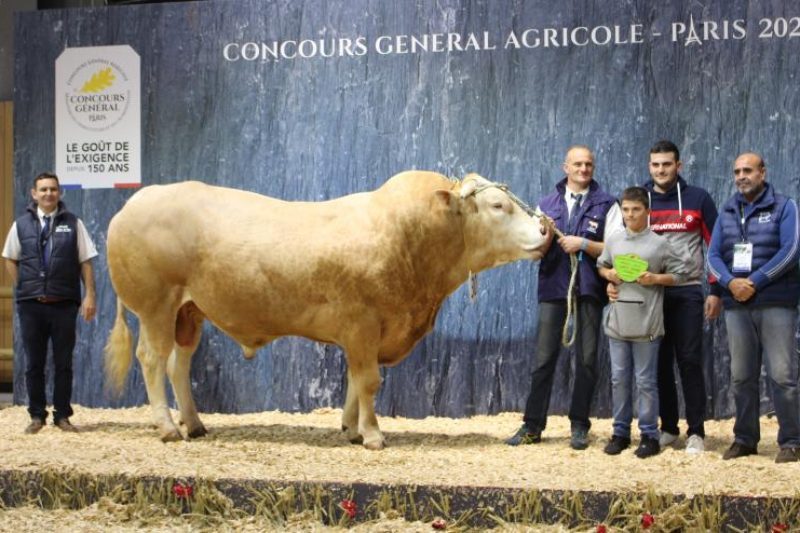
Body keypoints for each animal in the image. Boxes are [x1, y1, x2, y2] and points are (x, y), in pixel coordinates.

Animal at [104, 170, 544, 448]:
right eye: (498, 205)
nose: (545, 231)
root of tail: (135, 201)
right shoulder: (362, 322)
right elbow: (368, 380)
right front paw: (373, 435)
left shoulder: (366, 331)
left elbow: (354, 380)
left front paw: (352, 428)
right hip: (156, 306)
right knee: (151, 359)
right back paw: (167, 428)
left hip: (189, 312)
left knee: (179, 364)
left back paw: (194, 424)